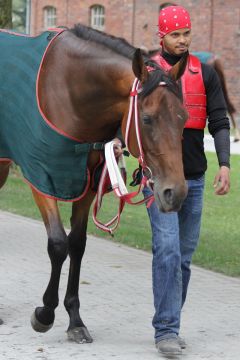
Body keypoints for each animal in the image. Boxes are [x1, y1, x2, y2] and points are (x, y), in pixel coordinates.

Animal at [0, 23, 189, 342]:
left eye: (183, 117)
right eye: (147, 119)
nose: (175, 192)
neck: (69, 91)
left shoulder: (88, 184)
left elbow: (77, 244)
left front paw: (75, 320)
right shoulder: (41, 178)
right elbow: (58, 244)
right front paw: (45, 313)